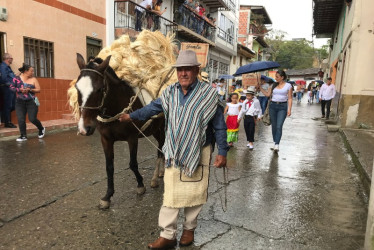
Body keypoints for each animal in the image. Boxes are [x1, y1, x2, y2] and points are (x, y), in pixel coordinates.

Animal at [74, 53, 164, 210]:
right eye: (77, 88)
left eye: (100, 89)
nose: (84, 128)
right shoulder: (106, 139)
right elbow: (109, 167)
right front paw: (107, 196)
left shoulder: (132, 138)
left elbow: (133, 163)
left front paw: (140, 185)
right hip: (156, 131)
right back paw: (159, 174)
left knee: (162, 150)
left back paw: (155, 177)